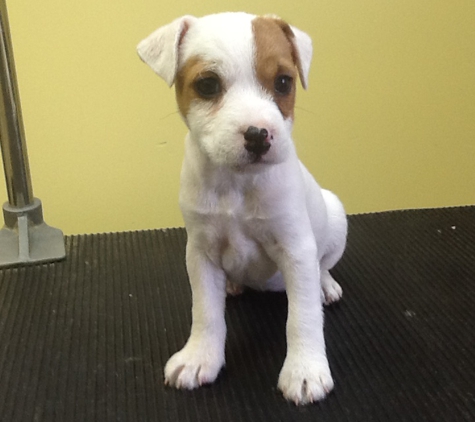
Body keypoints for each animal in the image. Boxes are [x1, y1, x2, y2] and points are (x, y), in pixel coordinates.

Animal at [136, 11, 348, 404]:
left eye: (283, 82)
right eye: (207, 85)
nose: (258, 134)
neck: (236, 183)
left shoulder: (296, 250)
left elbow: (302, 318)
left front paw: (305, 369)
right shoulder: (200, 253)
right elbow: (206, 313)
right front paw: (200, 356)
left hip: (335, 220)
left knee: (323, 266)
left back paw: (325, 285)